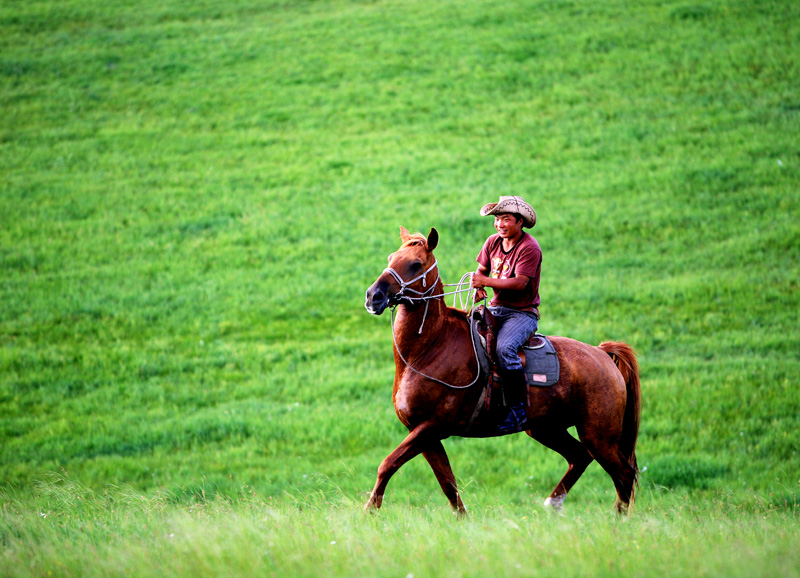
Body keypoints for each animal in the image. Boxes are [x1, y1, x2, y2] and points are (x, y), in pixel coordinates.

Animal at [366, 225, 640, 512]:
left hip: (600, 436)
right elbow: (448, 485)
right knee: (580, 457)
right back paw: (552, 504)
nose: (374, 296)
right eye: (390, 258)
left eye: (416, 264)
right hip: (547, 428)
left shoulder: (431, 426)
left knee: (623, 474)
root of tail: (602, 354)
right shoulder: (423, 432)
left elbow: (387, 464)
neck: (431, 346)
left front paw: (368, 513)